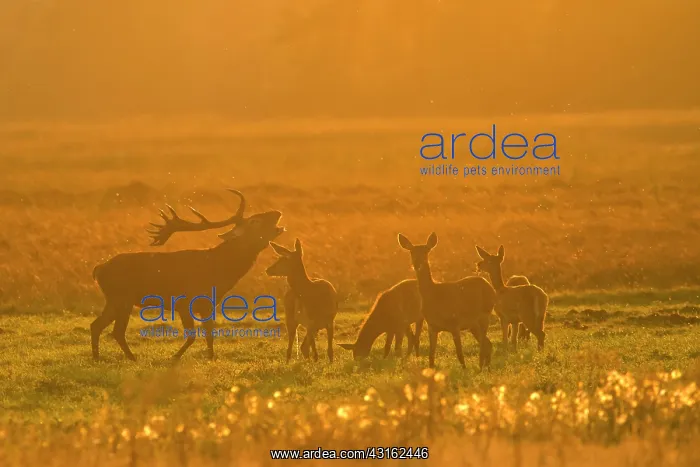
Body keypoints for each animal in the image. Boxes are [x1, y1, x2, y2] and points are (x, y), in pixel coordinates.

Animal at [91, 189, 285, 361]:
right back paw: (130, 358)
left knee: (97, 325)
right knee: (115, 330)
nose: (277, 212)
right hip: (121, 298)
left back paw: (98, 358)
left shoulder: (208, 305)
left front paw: (211, 358)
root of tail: (98, 269)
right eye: (255, 221)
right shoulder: (184, 302)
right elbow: (192, 335)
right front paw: (175, 357)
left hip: (115, 299)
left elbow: (209, 333)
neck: (219, 270)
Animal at [398, 233, 496, 369]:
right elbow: (431, 356)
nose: (417, 264)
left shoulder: (454, 323)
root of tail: (489, 286)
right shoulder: (432, 326)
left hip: (484, 315)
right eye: (411, 251)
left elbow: (460, 354)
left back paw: (482, 367)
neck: (434, 296)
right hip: (473, 325)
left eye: (426, 251)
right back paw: (486, 367)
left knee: (484, 345)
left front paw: (464, 370)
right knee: (488, 343)